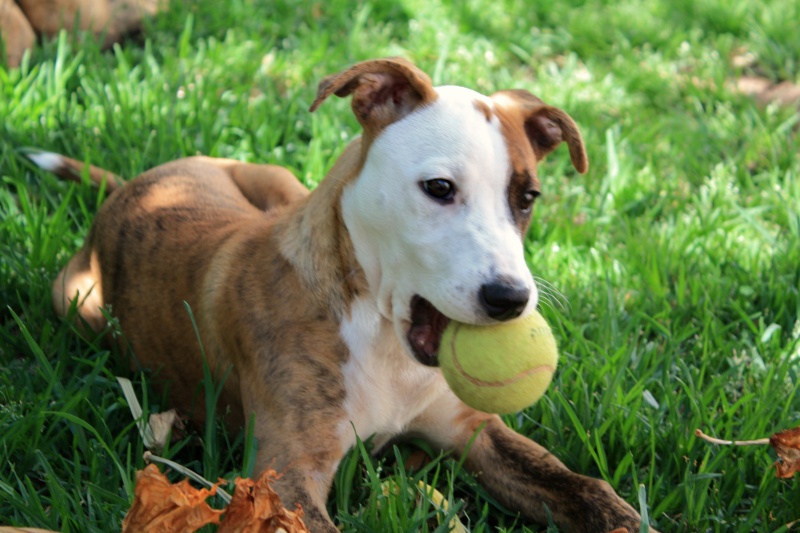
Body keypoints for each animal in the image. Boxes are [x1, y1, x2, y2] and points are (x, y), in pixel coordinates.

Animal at [32, 56, 656, 528]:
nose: (510, 300)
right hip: (76, 303)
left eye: (527, 198)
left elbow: (587, 489)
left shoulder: (472, 429)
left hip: (278, 181)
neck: (383, 339)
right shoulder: (284, 476)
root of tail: (135, 185)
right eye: (438, 187)